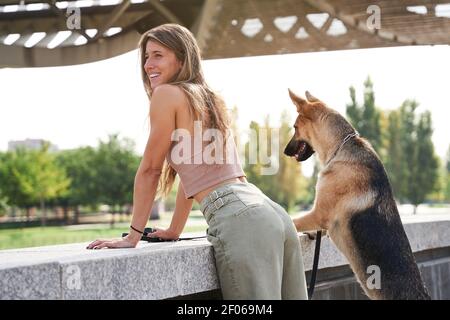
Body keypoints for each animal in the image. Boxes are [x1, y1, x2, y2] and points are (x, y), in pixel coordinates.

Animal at [284, 89, 428, 298]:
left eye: (295, 127)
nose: (285, 151)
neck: (341, 147)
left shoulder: (319, 213)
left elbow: (292, 220)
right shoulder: (321, 218)